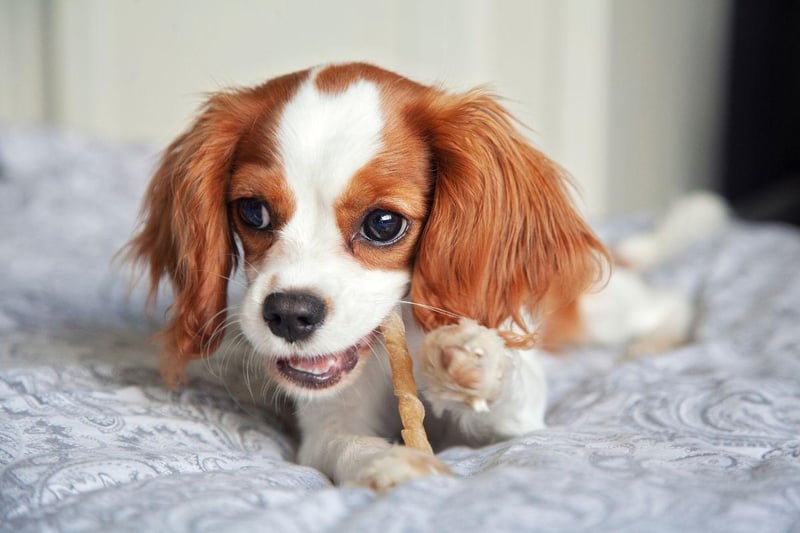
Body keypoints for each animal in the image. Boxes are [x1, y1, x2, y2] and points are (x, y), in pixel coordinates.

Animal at [126, 63, 712, 490]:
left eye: (383, 224)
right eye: (253, 212)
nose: (289, 314)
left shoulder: (518, 418)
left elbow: (514, 389)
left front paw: (475, 362)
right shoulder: (329, 419)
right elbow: (349, 444)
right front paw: (390, 463)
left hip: (597, 310)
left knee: (669, 301)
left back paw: (654, 343)